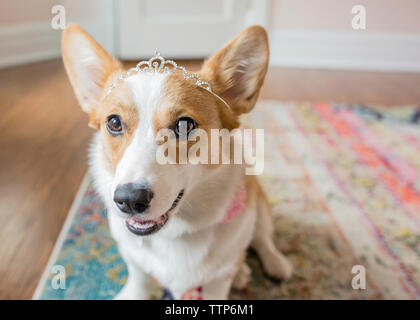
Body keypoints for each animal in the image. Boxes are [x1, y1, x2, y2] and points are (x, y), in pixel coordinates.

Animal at [61, 23, 292, 300]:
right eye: (114, 123)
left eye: (184, 125)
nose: (129, 200)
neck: (175, 233)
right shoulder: (132, 256)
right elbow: (138, 277)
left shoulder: (218, 279)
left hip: (258, 206)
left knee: (262, 239)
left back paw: (273, 264)